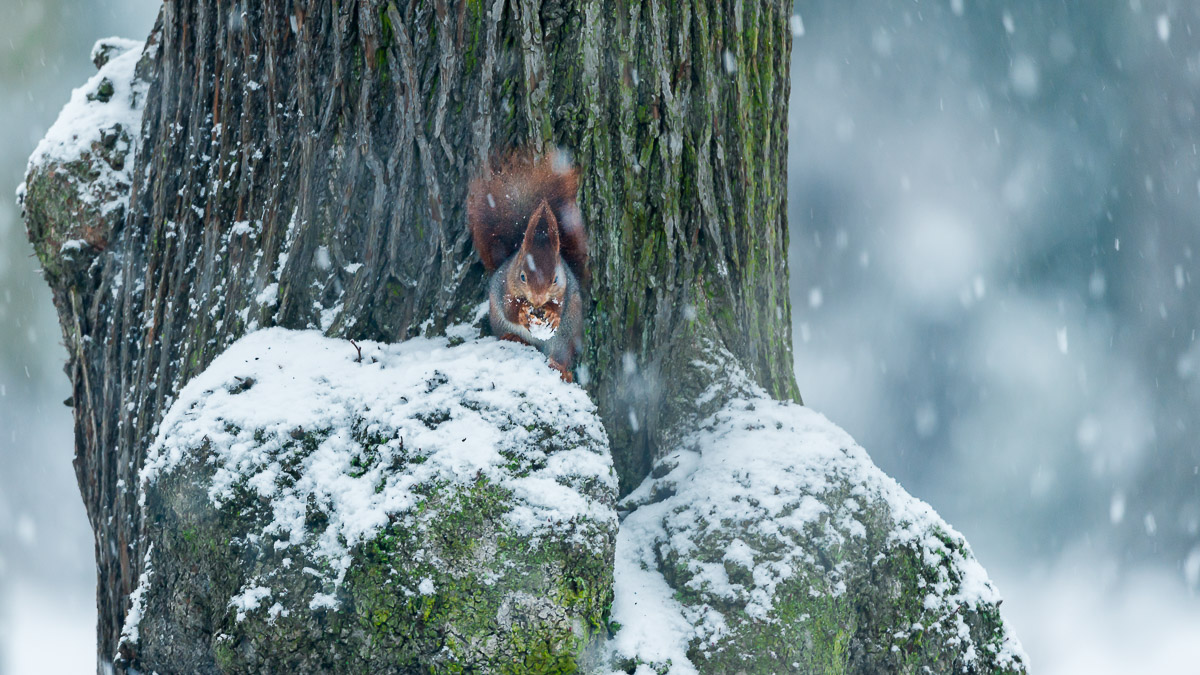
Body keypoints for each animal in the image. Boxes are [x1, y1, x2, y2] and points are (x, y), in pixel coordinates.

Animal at [465, 151, 588, 381]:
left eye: (555, 278)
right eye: (522, 276)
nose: (538, 300)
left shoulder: (565, 289)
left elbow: (560, 305)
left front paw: (552, 314)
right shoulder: (504, 287)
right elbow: (509, 309)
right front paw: (522, 313)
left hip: (565, 337)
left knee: (561, 354)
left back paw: (561, 368)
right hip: (498, 320)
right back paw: (514, 337)